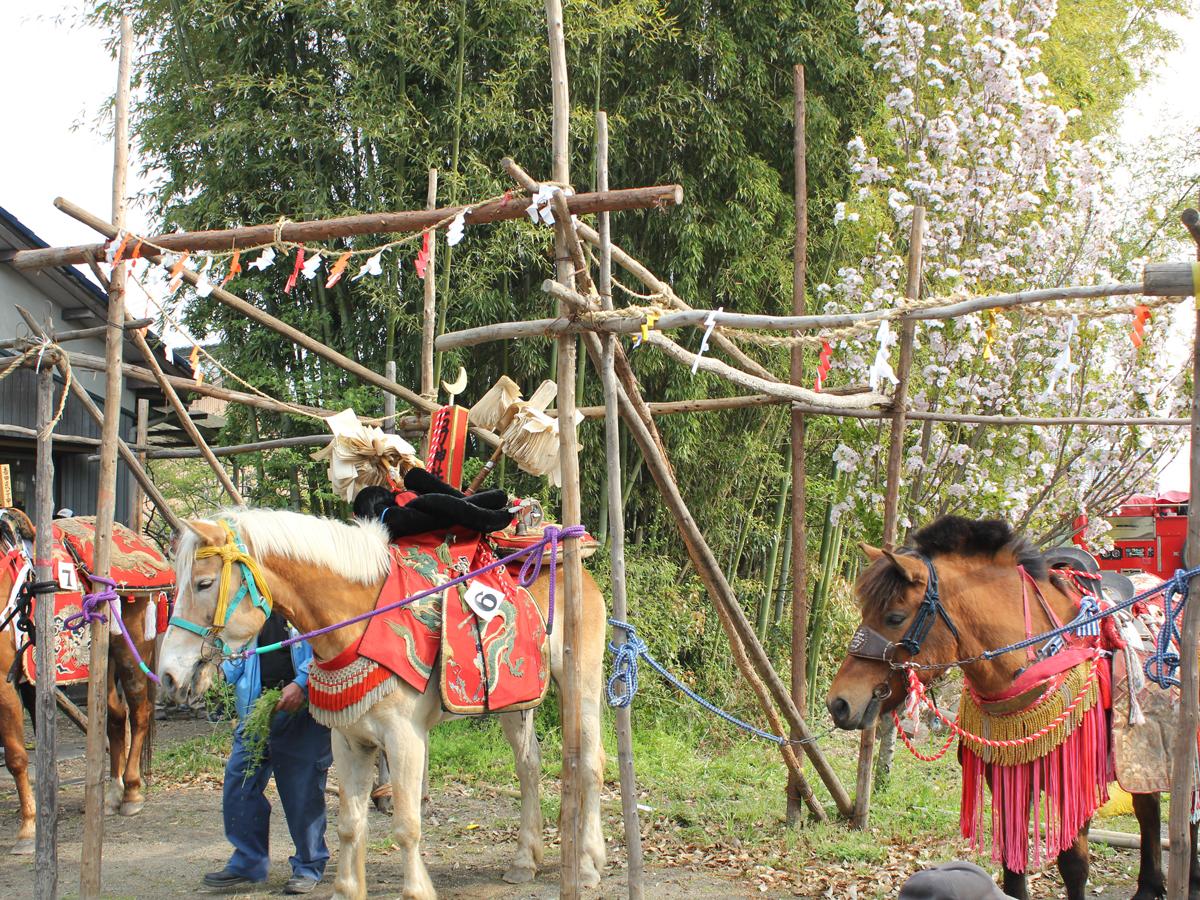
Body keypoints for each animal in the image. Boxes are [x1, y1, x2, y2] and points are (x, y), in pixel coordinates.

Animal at [0, 508, 159, 854]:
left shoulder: (4, 685)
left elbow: (16, 757)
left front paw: (28, 829)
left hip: (131, 648)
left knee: (139, 713)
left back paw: (132, 792)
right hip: (102, 662)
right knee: (115, 716)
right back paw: (111, 792)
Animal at [157, 508, 609, 900]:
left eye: (203, 584)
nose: (168, 675)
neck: (361, 619)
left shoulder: (404, 738)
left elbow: (406, 825)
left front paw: (417, 890)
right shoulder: (348, 740)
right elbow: (349, 825)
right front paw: (346, 889)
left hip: (580, 681)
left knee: (589, 763)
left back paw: (588, 864)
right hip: (516, 699)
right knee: (529, 765)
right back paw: (524, 860)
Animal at [830, 513, 1195, 900]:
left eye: (895, 617)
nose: (838, 703)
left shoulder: (1076, 779)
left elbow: (1074, 864)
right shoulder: (1005, 776)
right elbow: (1012, 863)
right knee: (1149, 804)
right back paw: (1150, 884)